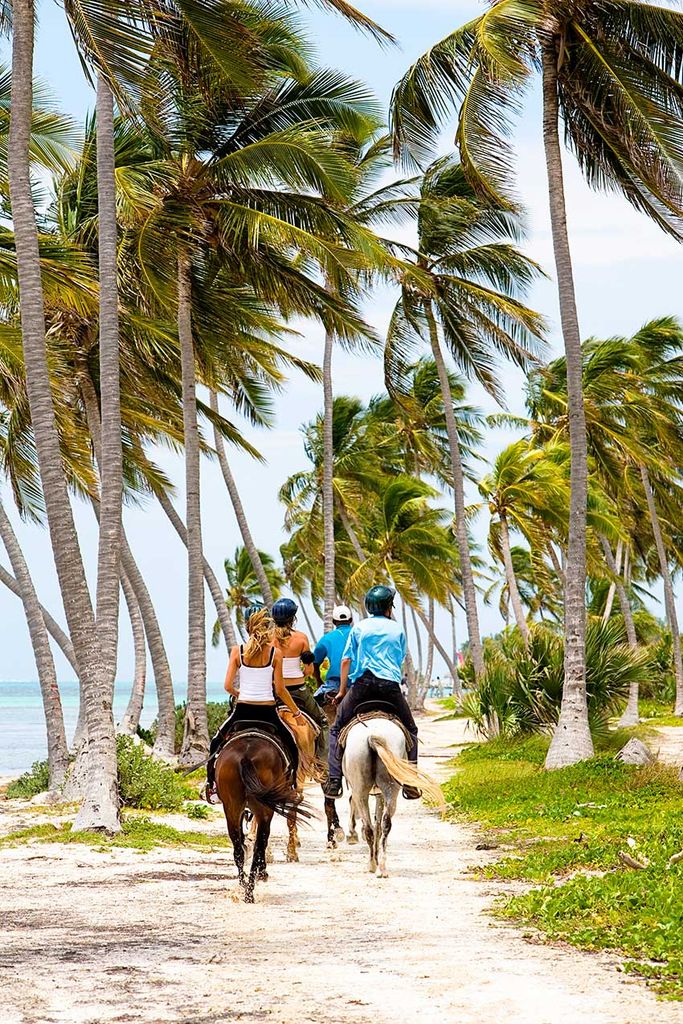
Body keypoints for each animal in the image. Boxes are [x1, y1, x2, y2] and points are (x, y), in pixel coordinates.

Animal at [215, 729, 311, 905]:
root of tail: (245, 756)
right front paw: (263, 872)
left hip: (232, 807)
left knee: (238, 848)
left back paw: (244, 885)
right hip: (264, 810)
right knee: (260, 845)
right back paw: (251, 891)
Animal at [339, 716, 444, 876]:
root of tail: (372, 736)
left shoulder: (374, 794)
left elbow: (367, 816)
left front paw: (352, 834)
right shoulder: (378, 794)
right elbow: (377, 823)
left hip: (363, 789)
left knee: (371, 825)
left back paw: (372, 864)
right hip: (388, 788)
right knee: (385, 823)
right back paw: (381, 866)